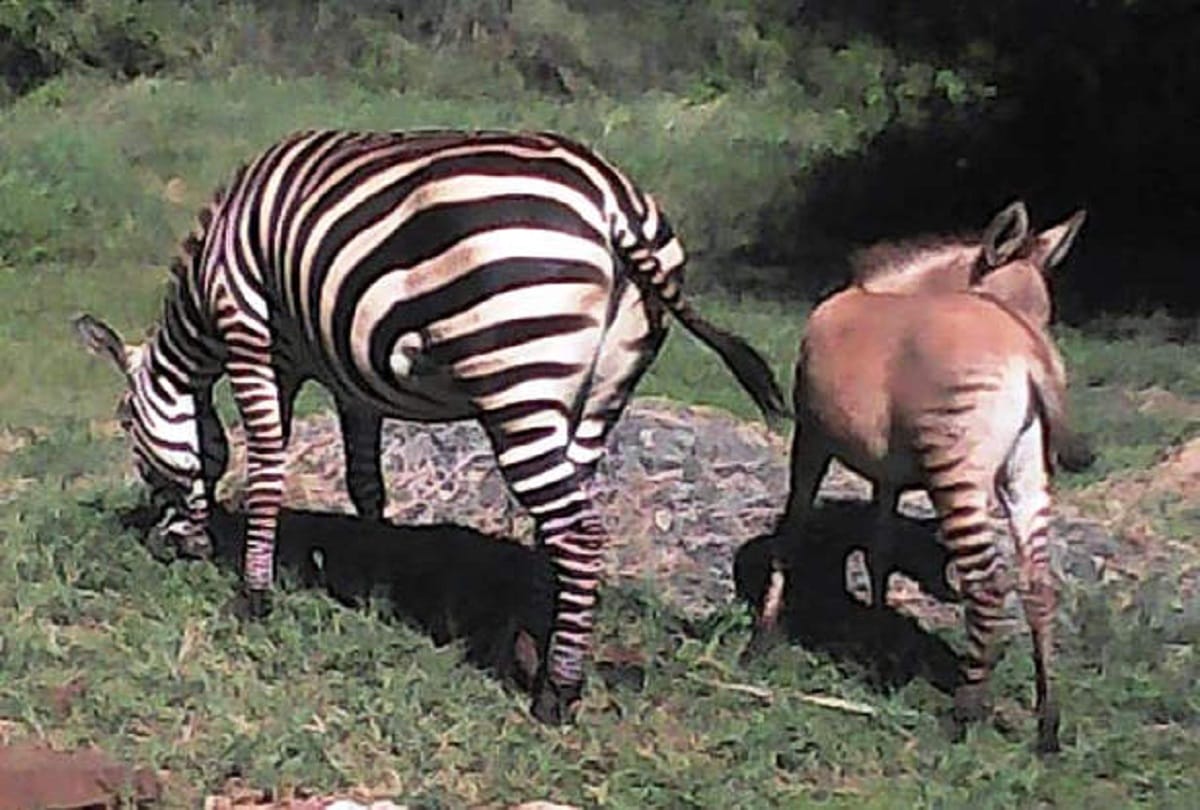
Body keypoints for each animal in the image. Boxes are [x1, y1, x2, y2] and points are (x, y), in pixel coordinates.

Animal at [74, 128, 788, 724]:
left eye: (131, 435)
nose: (169, 546)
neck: (207, 287)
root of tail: (614, 204)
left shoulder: (253, 335)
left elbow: (267, 463)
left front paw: (254, 594)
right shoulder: (344, 374)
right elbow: (366, 483)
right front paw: (370, 586)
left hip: (517, 374)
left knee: (579, 532)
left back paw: (557, 692)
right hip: (601, 393)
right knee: (561, 526)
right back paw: (534, 642)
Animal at [752, 203, 1086, 752]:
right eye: (1039, 313)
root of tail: (1025, 359)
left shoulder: (811, 438)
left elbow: (792, 532)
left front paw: (761, 639)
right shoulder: (887, 474)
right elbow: (879, 552)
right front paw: (874, 646)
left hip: (958, 470)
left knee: (987, 586)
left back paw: (962, 717)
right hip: (1026, 476)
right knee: (1038, 585)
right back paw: (1048, 728)